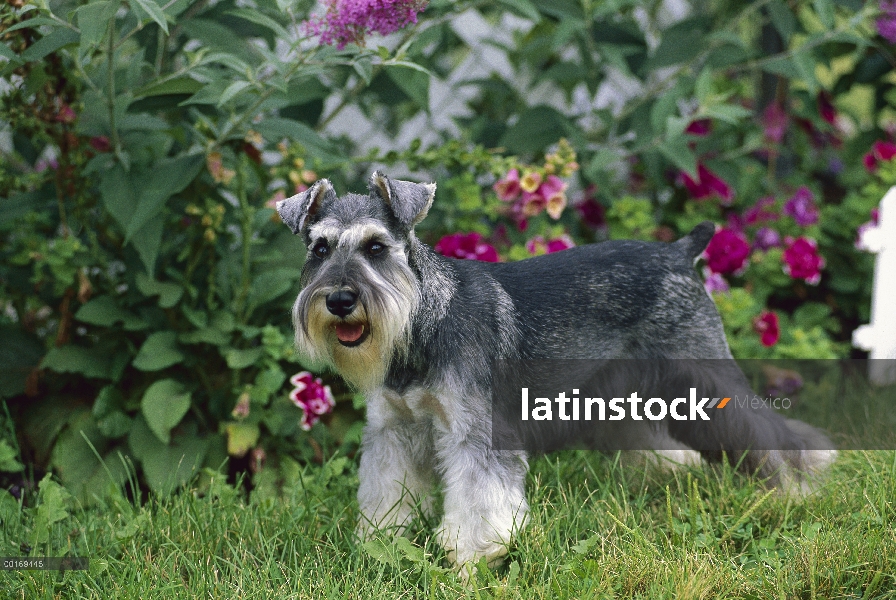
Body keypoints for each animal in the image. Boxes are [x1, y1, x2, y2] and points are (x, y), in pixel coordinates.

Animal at [276, 172, 836, 572]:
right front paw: (379, 548)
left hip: (705, 378)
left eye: (375, 247)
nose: (340, 299)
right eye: (319, 248)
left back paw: (798, 485)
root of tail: (679, 252)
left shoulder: (477, 434)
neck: (423, 319)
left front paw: (474, 560)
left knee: (769, 430)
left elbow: (479, 501)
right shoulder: (394, 430)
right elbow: (386, 495)